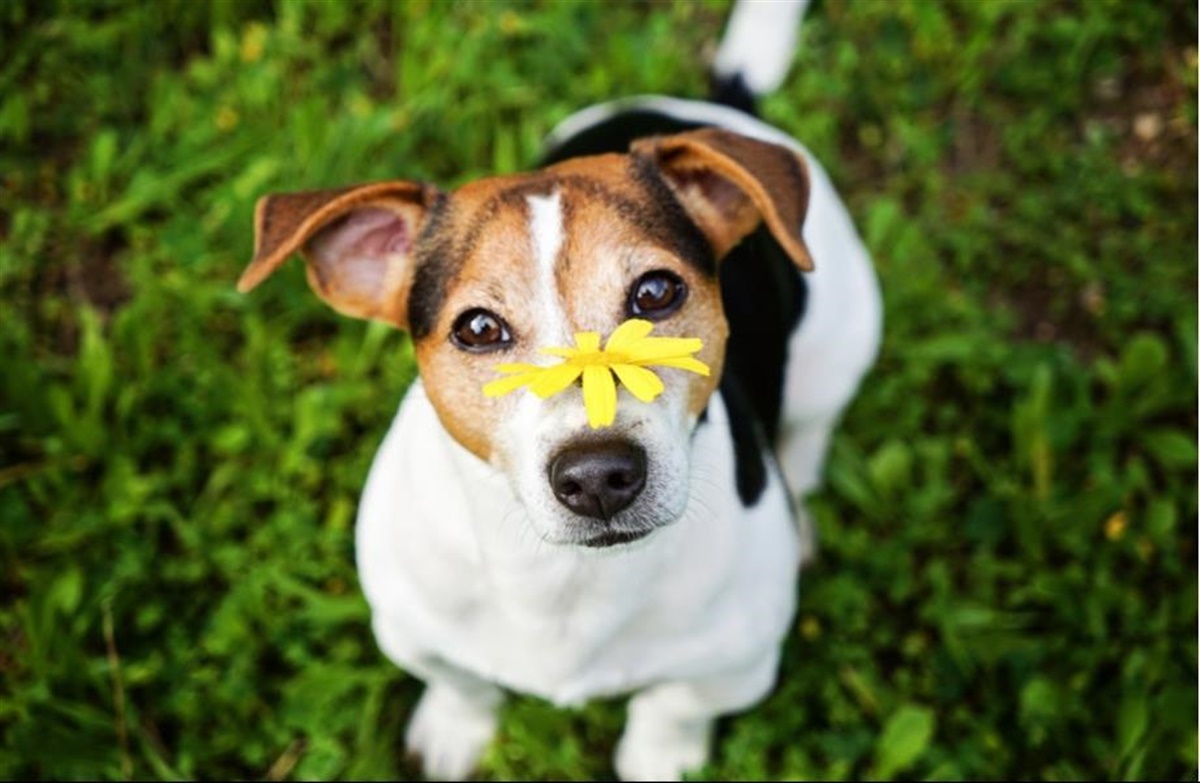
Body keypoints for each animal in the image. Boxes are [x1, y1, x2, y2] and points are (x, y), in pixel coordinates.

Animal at [234, 3, 883, 778]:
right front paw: (454, 730)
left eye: (656, 292)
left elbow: (672, 711)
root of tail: (714, 108)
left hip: (841, 343)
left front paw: (661, 760)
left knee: (809, 437)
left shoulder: (733, 665)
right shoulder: (409, 629)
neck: (565, 577)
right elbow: (462, 681)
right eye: (479, 328)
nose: (599, 475)